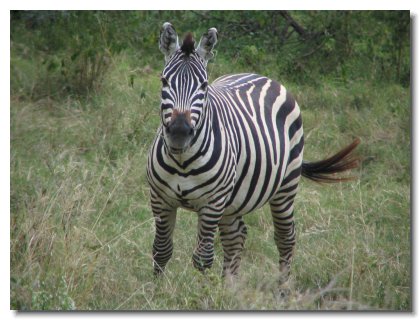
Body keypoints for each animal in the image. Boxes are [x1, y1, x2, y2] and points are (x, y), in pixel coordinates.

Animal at [146, 23, 360, 282]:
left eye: (204, 86)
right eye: (164, 80)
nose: (179, 132)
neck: (182, 161)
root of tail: (262, 76)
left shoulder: (212, 203)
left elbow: (202, 258)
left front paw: (201, 291)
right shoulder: (160, 199)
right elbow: (161, 250)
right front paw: (156, 290)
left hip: (285, 188)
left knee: (285, 238)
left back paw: (281, 288)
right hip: (233, 200)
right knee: (235, 237)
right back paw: (229, 287)